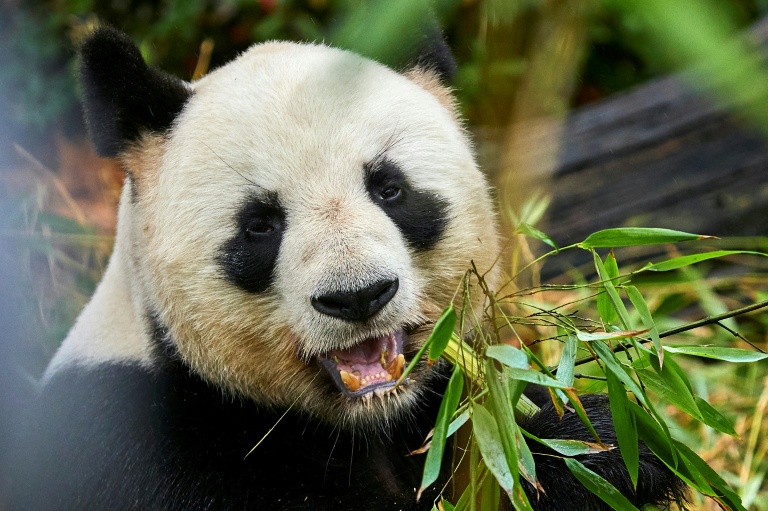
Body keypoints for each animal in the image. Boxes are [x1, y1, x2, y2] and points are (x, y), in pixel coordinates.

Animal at [8, 26, 686, 511]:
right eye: (260, 224)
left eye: (389, 188)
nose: (359, 296)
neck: (366, 422)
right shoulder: (148, 452)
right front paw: (586, 459)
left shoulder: (444, 403)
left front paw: (613, 437)